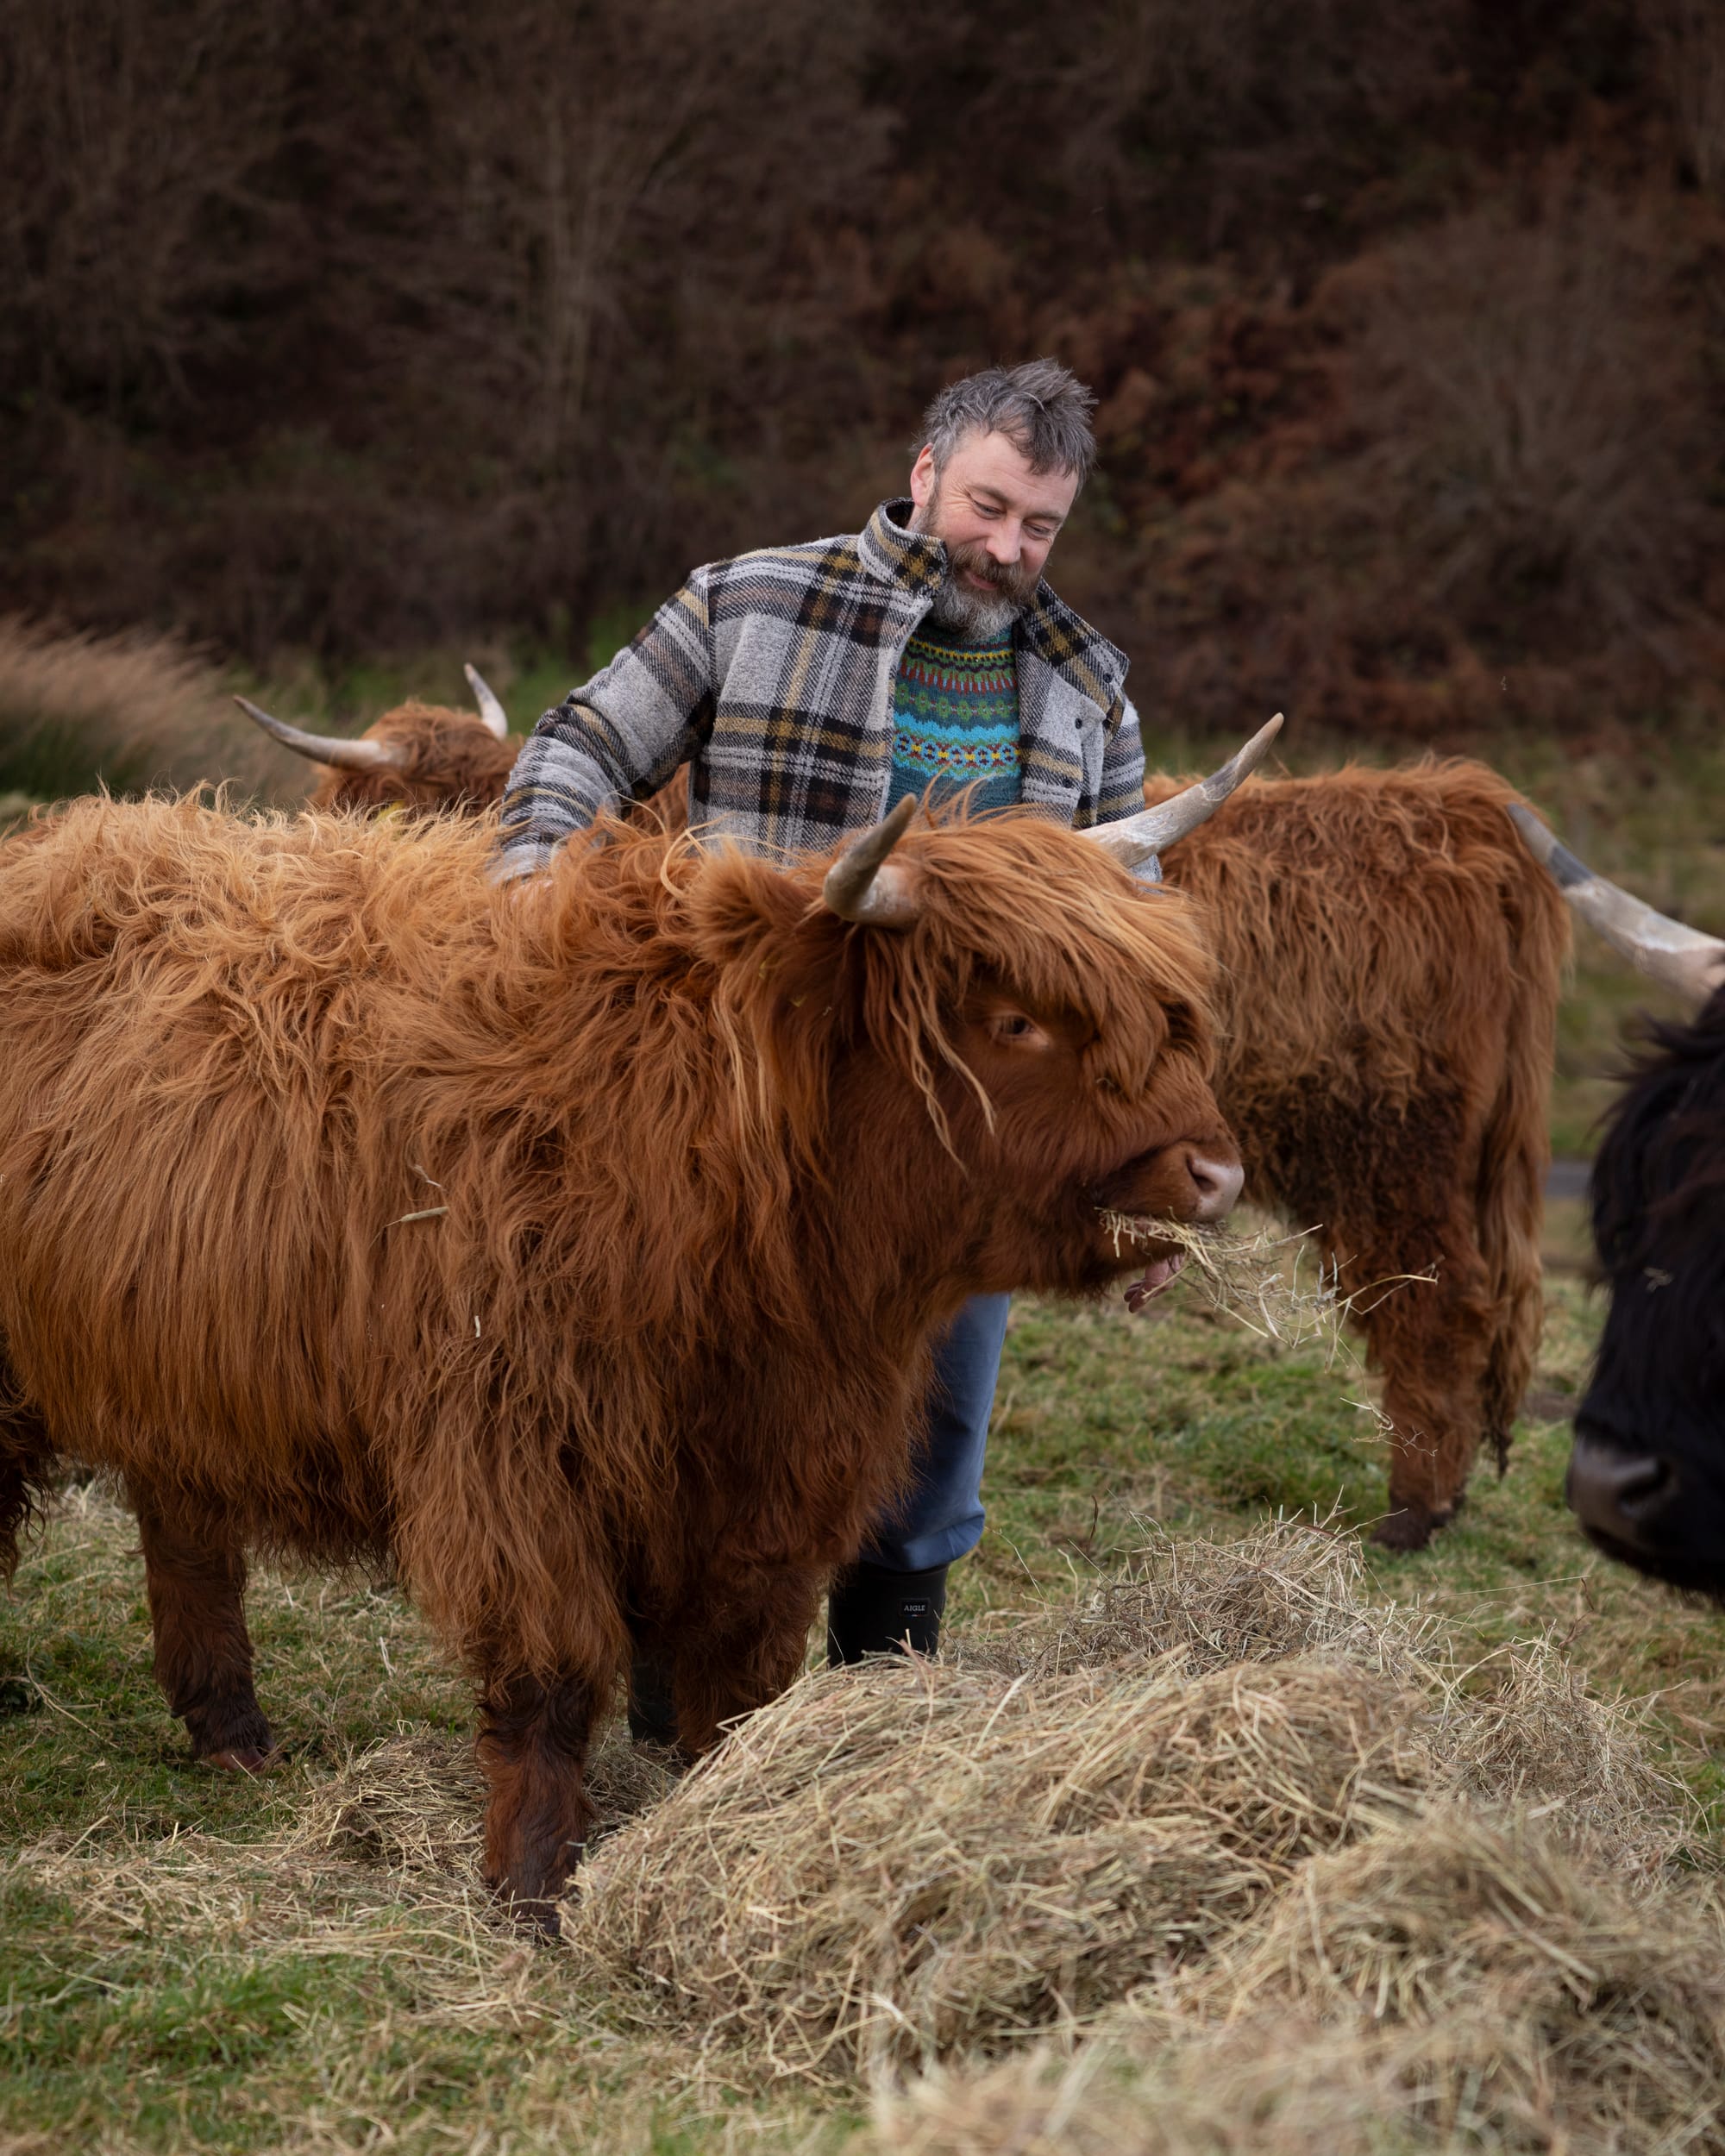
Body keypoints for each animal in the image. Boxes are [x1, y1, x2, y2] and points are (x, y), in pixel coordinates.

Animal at [0, 734, 1269, 1923]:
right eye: (1015, 1021)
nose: (1214, 1173)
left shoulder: (784, 1466)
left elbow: (739, 1672)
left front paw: (718, 1815)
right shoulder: (513, 1449)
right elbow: (550, 1675)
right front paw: (530, 1886)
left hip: (173, 1355)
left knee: (184, 1523)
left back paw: (229, 1729)